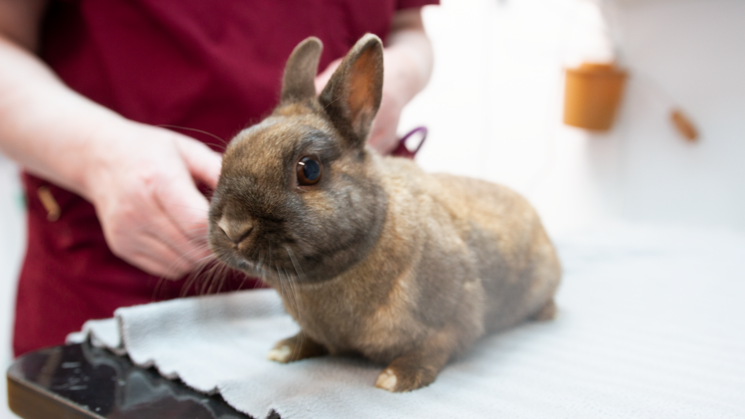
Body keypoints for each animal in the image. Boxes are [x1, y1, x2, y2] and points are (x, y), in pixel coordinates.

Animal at [207, 34, 561, 393]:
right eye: (228, 154)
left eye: (309, 169)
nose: (232, 227)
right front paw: (284, 349)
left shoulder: (456, 316)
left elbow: (437, 347)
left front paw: (397, 378)